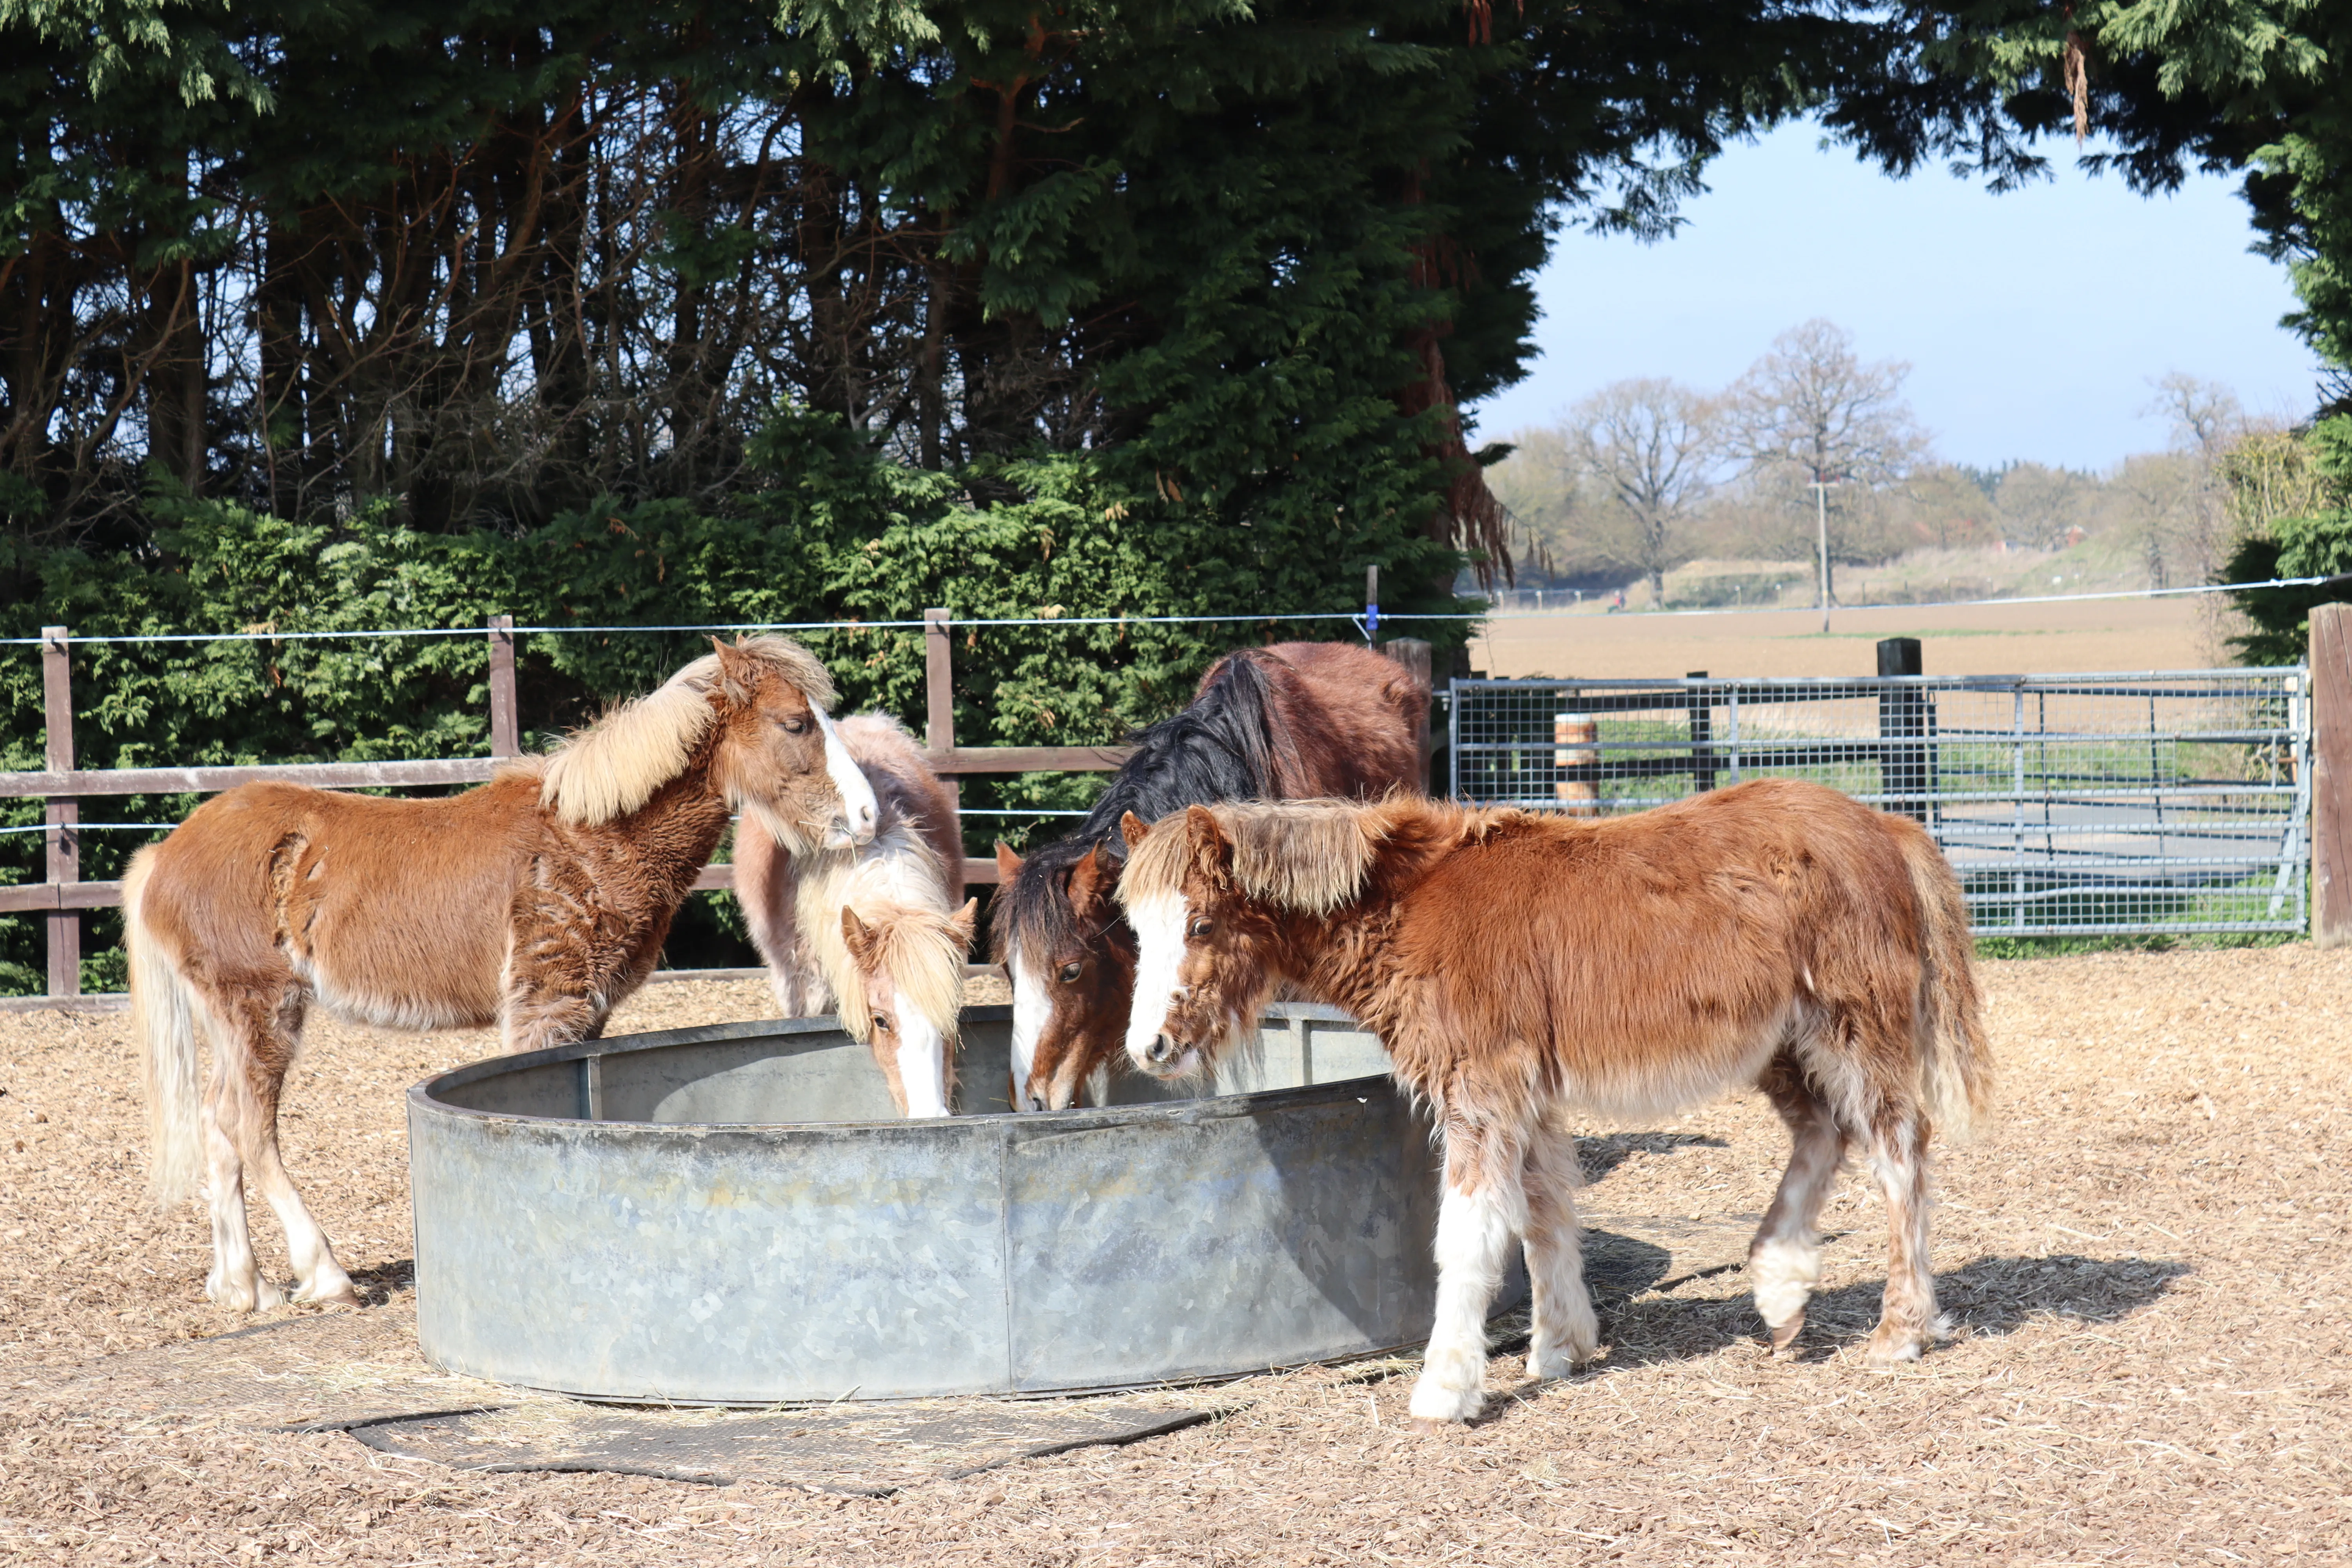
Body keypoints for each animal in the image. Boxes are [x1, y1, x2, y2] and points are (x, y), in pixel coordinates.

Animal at [126, 636, 880, 1314]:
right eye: (795, 723)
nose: (868, 817)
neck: (588, 837)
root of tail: (167, 855)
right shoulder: (547, 1004)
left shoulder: (589, 1011)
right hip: (264, 1008)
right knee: (248, 1127)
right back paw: (324, 1274)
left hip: (232, 1018)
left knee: (218, 1126)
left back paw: (243, 1287)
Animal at [1113, 779, 1992, 1426]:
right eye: (1135, 930)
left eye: (1200, 923)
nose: (1149, 1048)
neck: (1415, 907)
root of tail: (1885, 825)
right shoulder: (1527, 1096)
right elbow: (1542, 1216)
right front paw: (1560, 1348)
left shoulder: (1482, 1090)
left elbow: (1469, 1236)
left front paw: (1445, 1389)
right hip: (1785, 1044)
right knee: (1824, 1135)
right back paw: (1781, 1289)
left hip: (1852, 1029)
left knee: (1900, 1152)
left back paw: (1901, 1329)